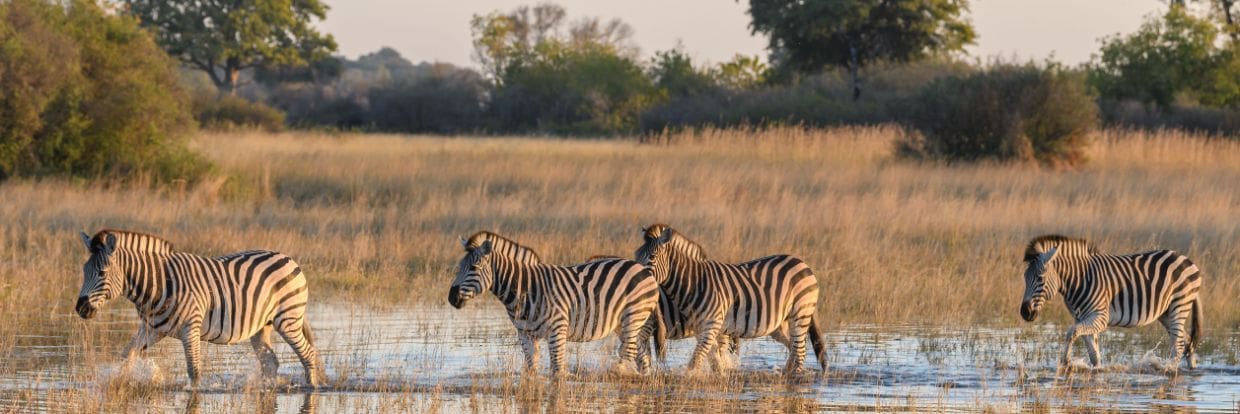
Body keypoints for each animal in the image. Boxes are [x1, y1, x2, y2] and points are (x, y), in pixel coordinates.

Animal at [73, 231, 322, 386]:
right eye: (84, 271)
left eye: (102, 273)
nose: (80, 308)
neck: (157, 285)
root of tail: (287, 257)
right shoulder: (153, 329)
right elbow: (127, 355)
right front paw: (123, 381)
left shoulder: (189, 328)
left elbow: (194, 371)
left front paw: (193, 393)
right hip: (262, 326)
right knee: (270, 362)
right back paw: (267, 387)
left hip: (288, 319)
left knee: (308, 355)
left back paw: (312, 387)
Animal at [448, 231, 669, 376]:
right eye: (459, 267)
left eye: (474, 267)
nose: (451, 298)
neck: (525, 289)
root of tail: (644, 270)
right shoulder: (525, 334)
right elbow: (531, 369)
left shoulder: (557, 330)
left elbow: (557, 372)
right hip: (625, 324)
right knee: (641, 355)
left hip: (633, 315)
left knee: (628, 352)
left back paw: (618, 373)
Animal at [634, 224, 828, 374]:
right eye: (636, 255)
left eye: (652, 257)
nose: (637, 278)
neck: (694, 282)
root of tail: (802, 263)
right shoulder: (704, 329)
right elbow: (713, 360)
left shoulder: (710, 325)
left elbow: (695, 361)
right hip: (780, 323)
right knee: (794, 348)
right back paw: (786, 374)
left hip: (800, 313)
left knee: (799, 350)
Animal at [1016, 235, 1200, 369]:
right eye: (1024, 277)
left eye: (1040, 278)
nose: (1024, 312)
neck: (1079, 280)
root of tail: (1186, 259)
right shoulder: (1083, 318)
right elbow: (1093, 353)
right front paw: (1096, 371)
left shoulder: (1100, 317)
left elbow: (1071, 333)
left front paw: (1065, 362)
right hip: (1166, 313)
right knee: (1186, 340)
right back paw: (1191, 369)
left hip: (1179, 306)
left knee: (1178, 345)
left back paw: (1169, 370)